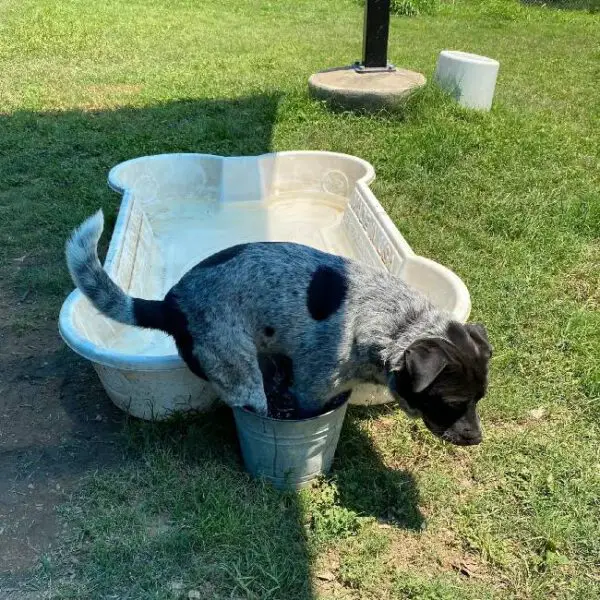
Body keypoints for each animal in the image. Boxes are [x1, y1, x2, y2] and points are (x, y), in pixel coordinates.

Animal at [65, 211, 490, 446]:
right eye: (451, 402)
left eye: (480, 399)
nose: (476, 439)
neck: (395, 324)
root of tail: (171, 305)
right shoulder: (313, 389)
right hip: (243, 378)